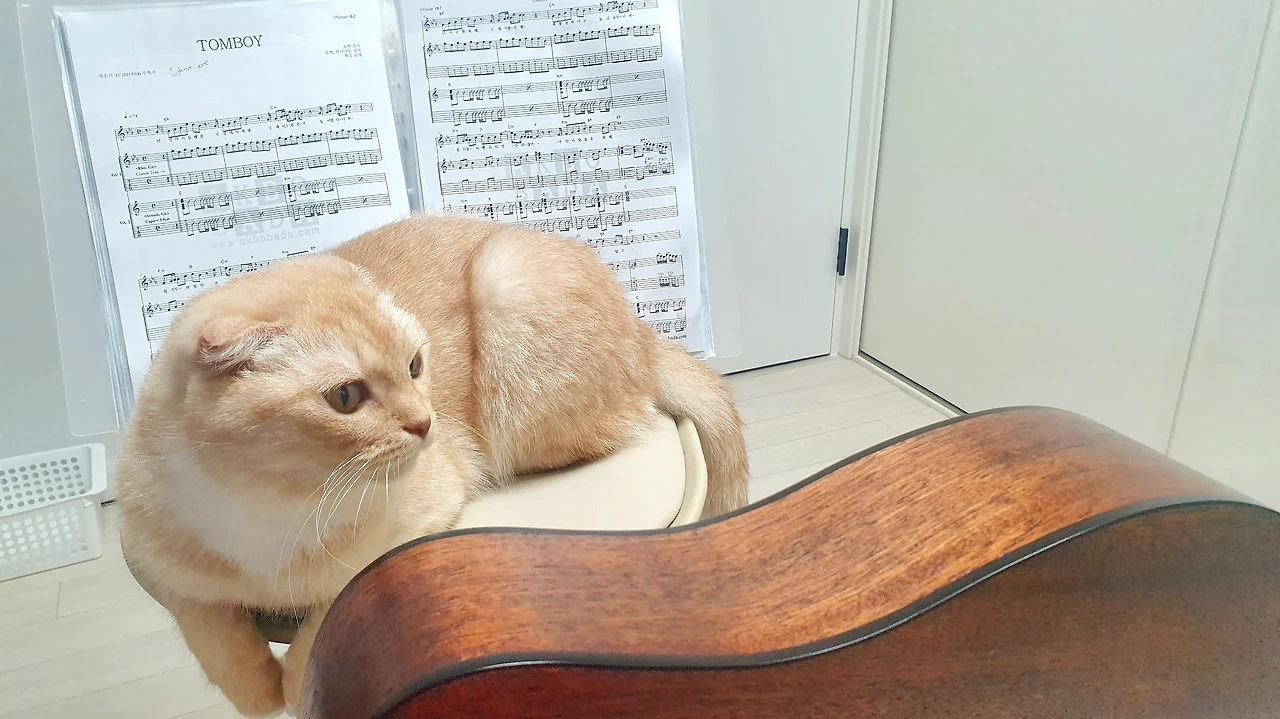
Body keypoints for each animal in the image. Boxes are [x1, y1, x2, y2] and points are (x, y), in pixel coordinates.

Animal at [116, 214, 750, 716]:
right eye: (345, 397)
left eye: (416, 365)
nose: (425, 423)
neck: (268, 506)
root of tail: (648, 333)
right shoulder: (156, 566)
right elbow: (215, 637)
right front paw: (258, 687)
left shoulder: (404, 532)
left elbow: (322, 619)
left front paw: (295, 685)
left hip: (507, 299)